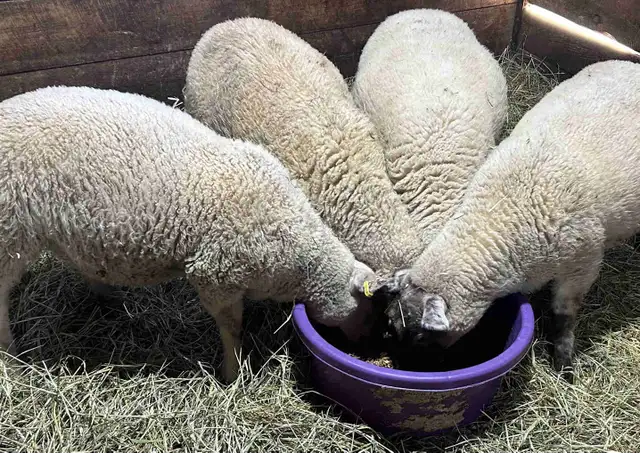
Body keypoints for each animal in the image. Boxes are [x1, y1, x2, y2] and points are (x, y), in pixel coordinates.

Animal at [0, 86, 381, 382]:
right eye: (366, 307)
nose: (366, 345)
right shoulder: (216, 275)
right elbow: (232, 327)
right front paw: (232, 373)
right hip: (9, 233)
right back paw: (11, 360)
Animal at [382, 60, 640, 381]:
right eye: (390, 322)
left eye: (419, 336)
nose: (404, 367)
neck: (507, 213)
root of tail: (630, 64)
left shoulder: (583, 264)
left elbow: (564, 316)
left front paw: (563, 362)